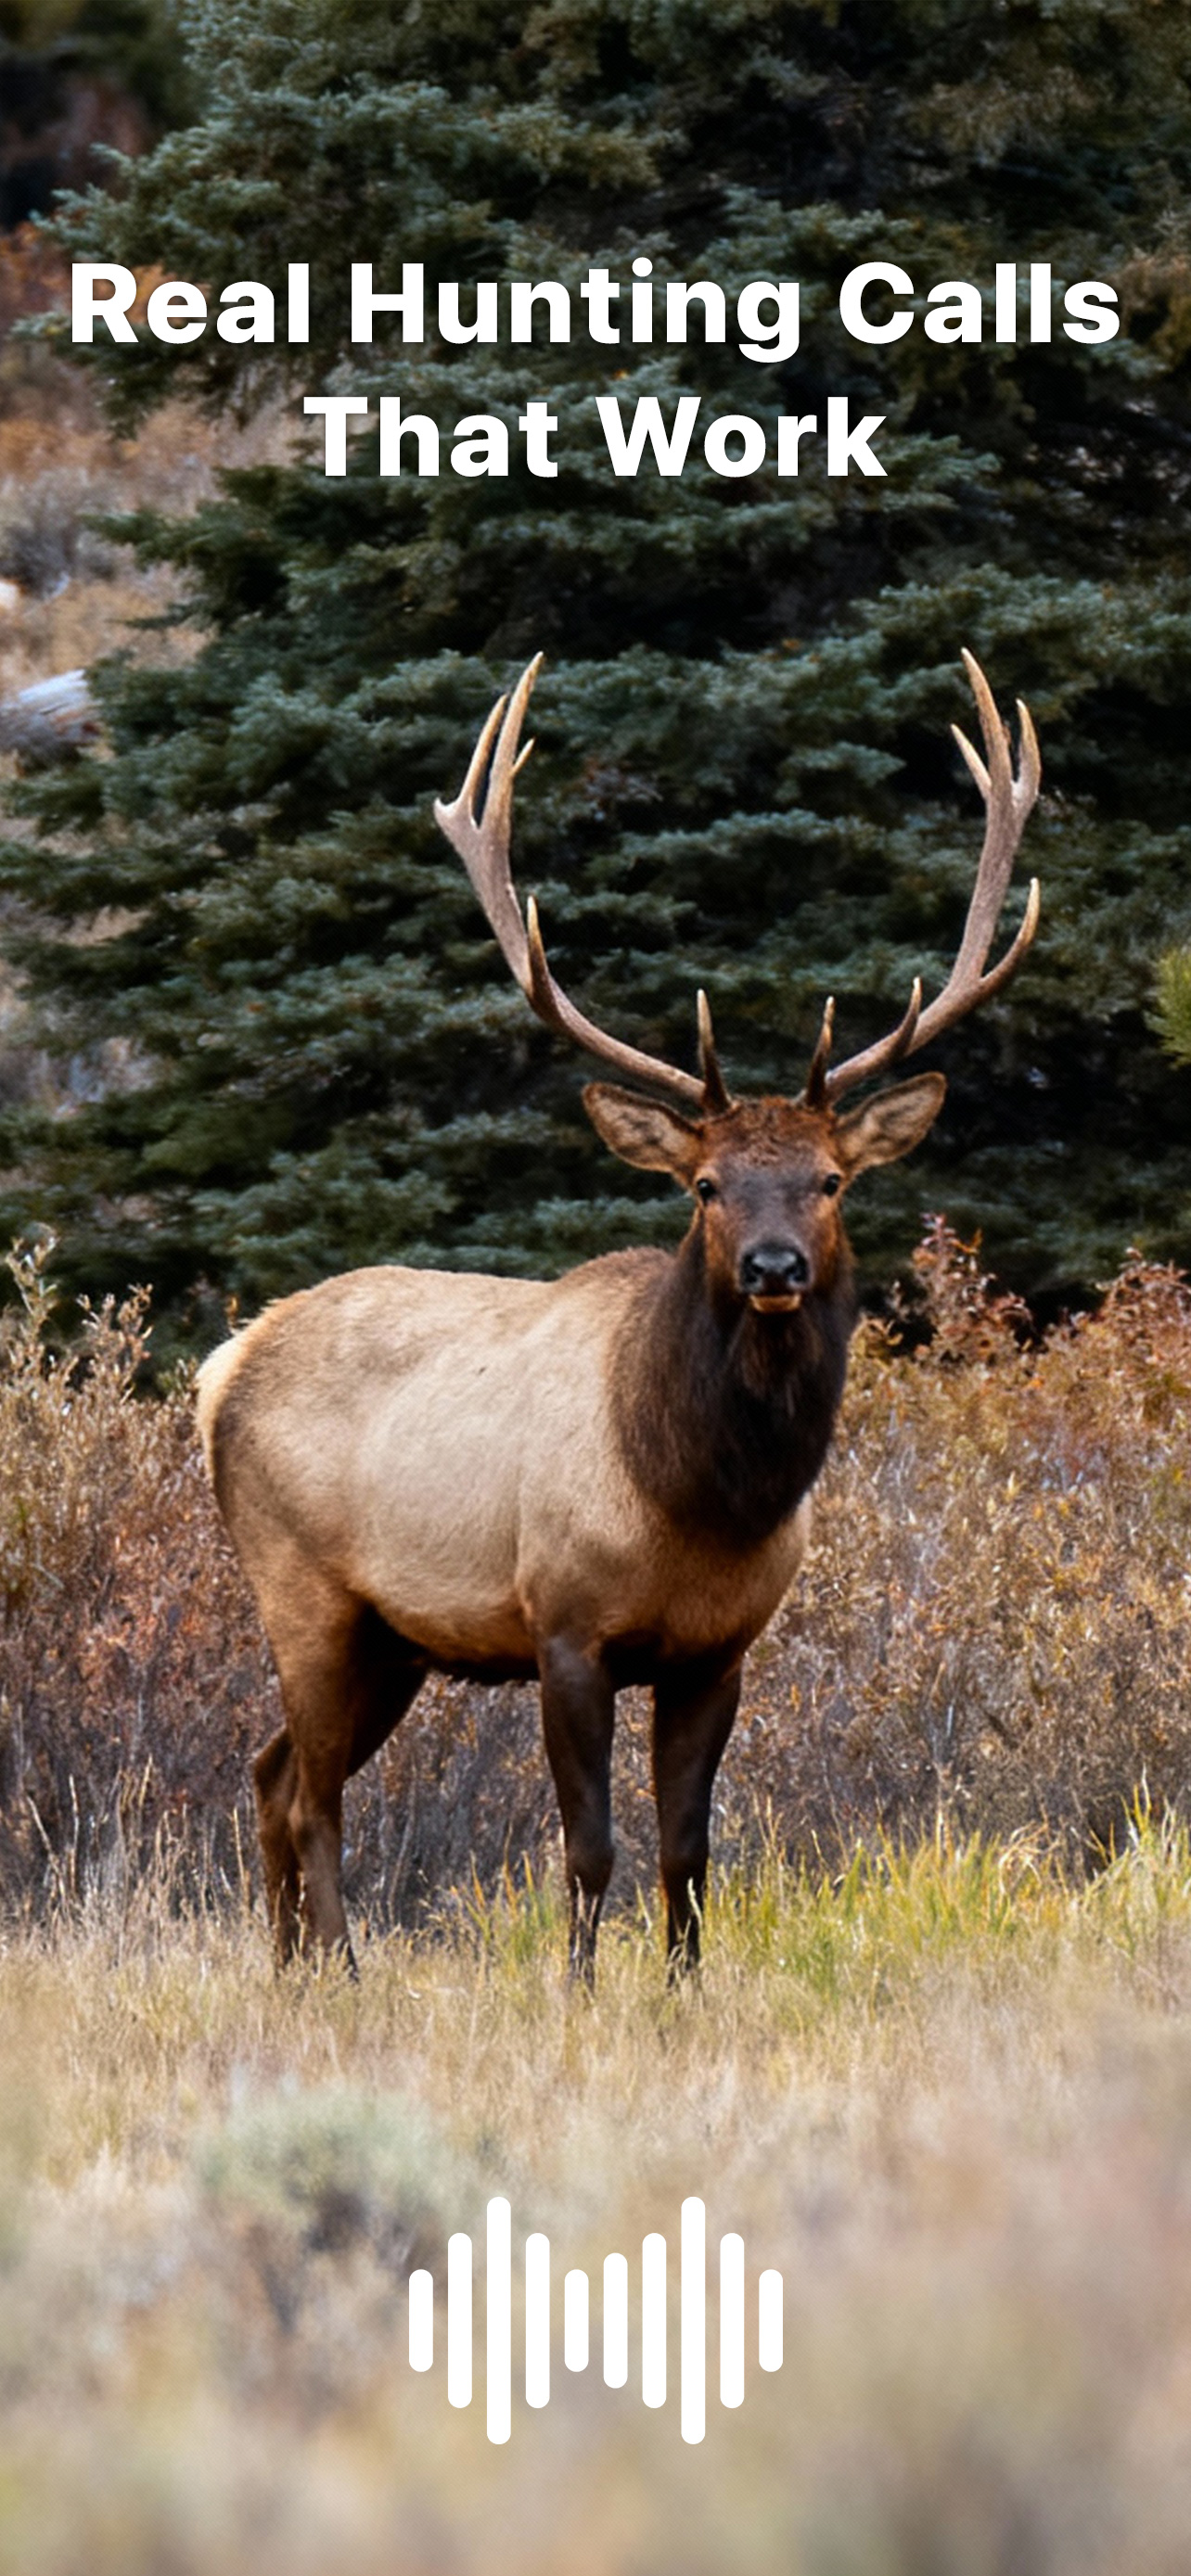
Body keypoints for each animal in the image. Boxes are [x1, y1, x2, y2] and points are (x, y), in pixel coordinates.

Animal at [196, 649, 1040, 1982]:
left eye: (830, 1179)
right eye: (705, 1184)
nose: (773, 1266)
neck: (699, 1494)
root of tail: (223, 1366)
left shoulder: (718, 1650)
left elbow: (688, 1849)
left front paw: (683, 1991)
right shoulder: (567, 1626)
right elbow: (587, 1848)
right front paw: (581, 1989)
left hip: (392, 1638)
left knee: (271, 1770)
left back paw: (288, 1971)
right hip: (304, 1588)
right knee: (312, 1792)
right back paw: (338, 1969)